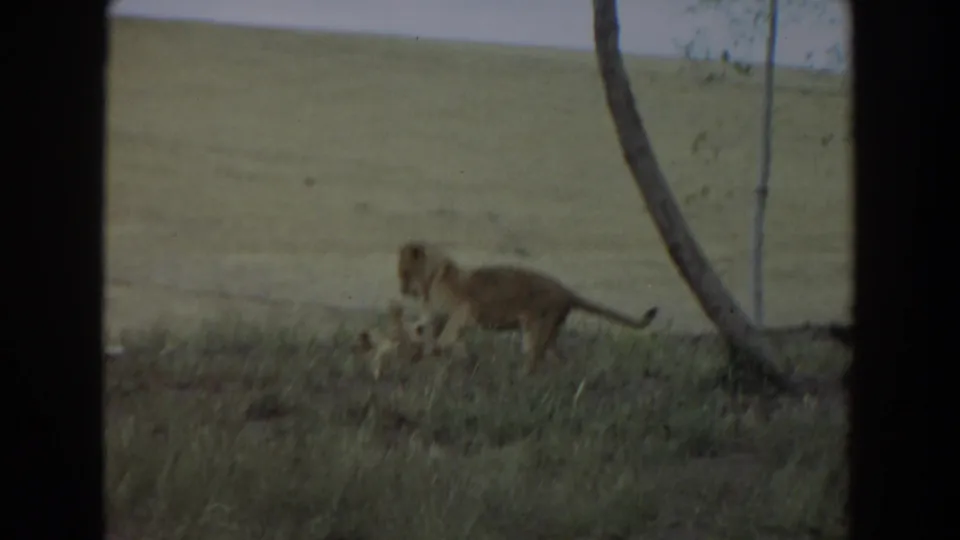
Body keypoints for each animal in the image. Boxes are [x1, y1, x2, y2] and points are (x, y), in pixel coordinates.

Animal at [397, 240, 659, 374]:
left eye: (404, 272)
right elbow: (427, 329)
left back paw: (523, 381)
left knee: (534, 359)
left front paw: (440, 350)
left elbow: (448, 334)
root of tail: (565, 291)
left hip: (534, 328)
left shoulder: (465, 310)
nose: (401, 289)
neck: (432, 277)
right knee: (557, 359)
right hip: (550, 333)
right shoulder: (436, 316)